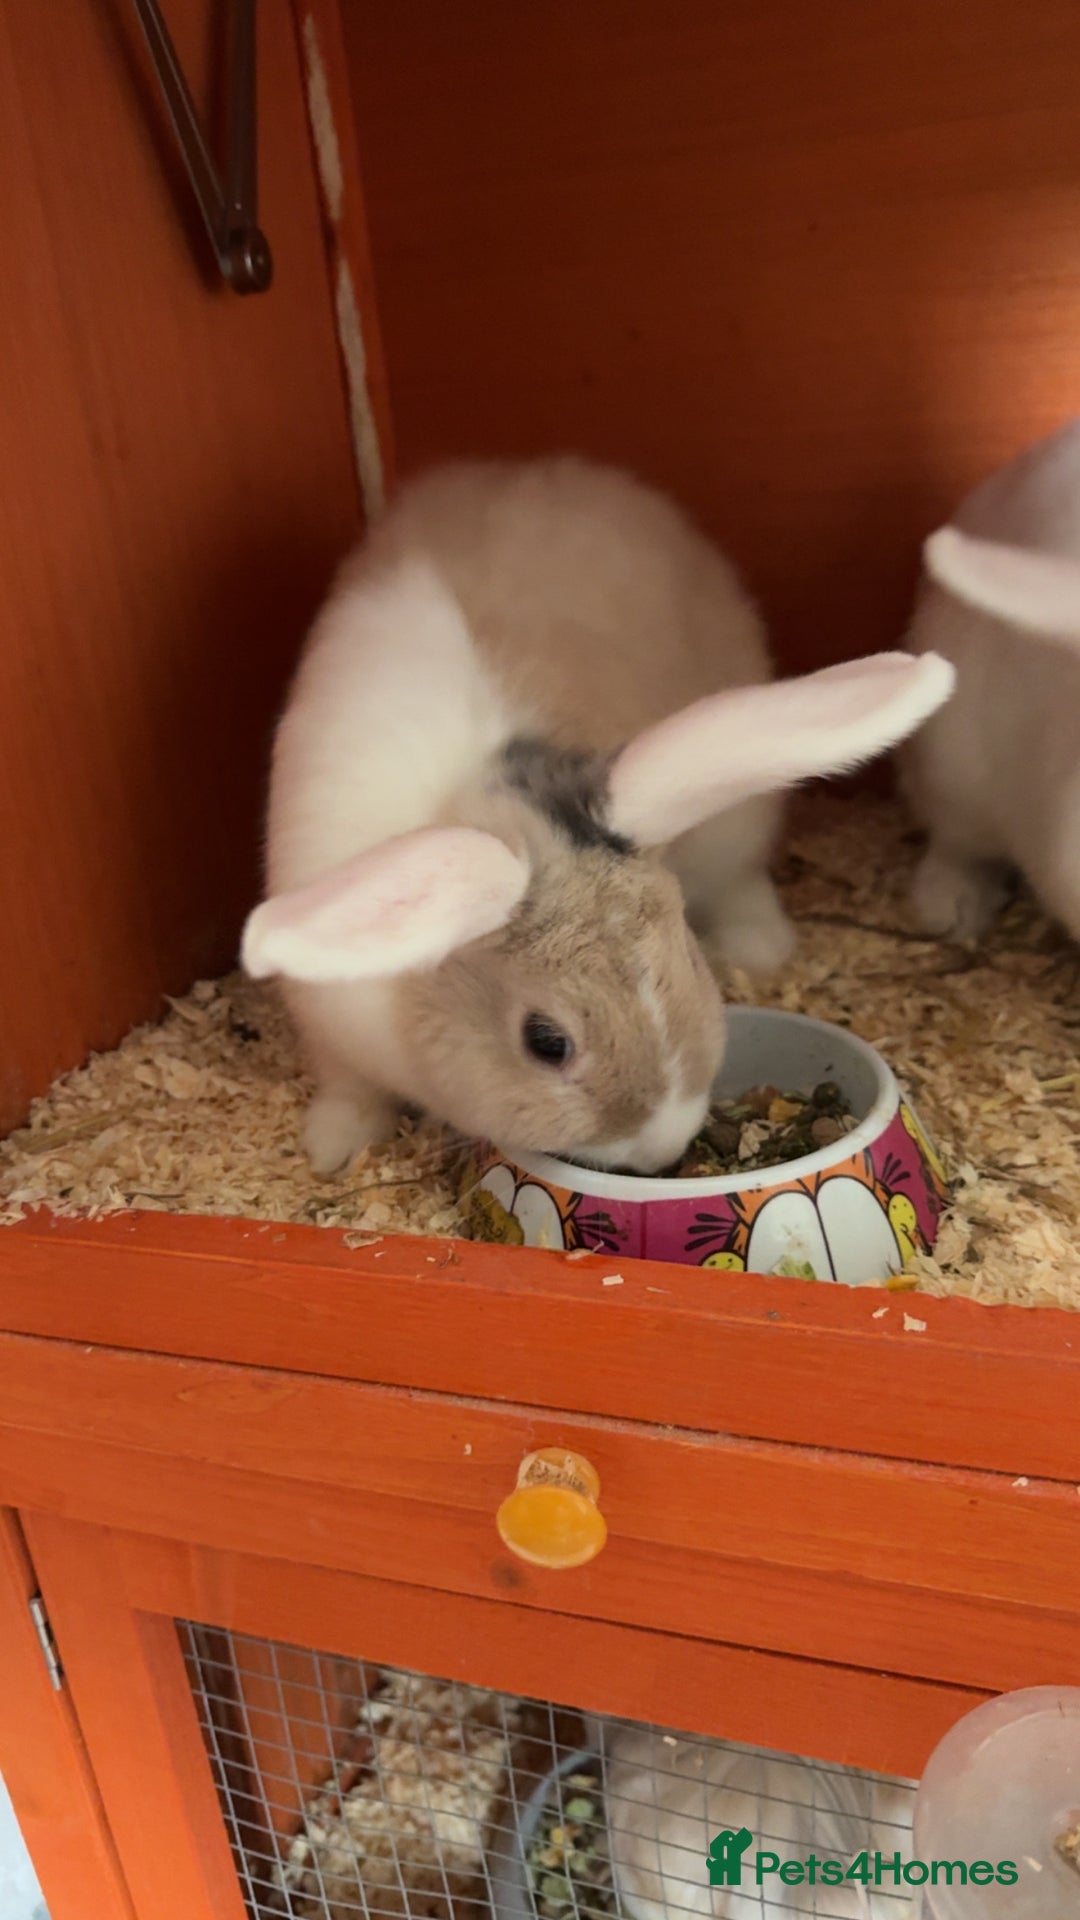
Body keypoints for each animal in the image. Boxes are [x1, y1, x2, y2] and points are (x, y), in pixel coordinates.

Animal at [241, 456, 953, 1176]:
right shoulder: (331, 1030)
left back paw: (762, 947)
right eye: (546, 1042)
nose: (663, 1145)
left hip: (734, 826)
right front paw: (334, 1147)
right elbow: (351, 1089)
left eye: (690, 963)